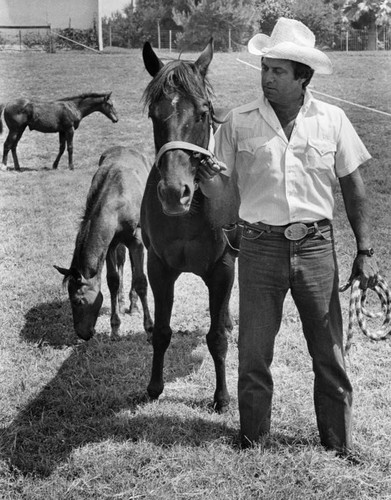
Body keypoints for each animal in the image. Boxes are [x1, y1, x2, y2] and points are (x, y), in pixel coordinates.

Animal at [55, 145, 153, 340]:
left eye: (78, 301)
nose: (82, 334)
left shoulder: (137, 240)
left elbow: (141, 281)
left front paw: (149, 328)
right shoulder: (109, 245)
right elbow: (112, 281)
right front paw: (115, 328)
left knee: (133, 266)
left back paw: (134, 306)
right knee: (123, 262)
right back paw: (123, 303)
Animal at [142, 40, 240, 414]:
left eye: (202, 112)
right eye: (154, 114)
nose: (174, 192)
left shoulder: (222, 268)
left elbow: (216, 338)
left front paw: (222, 397)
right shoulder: (158, 267)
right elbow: (161, 332)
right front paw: (154, 386)